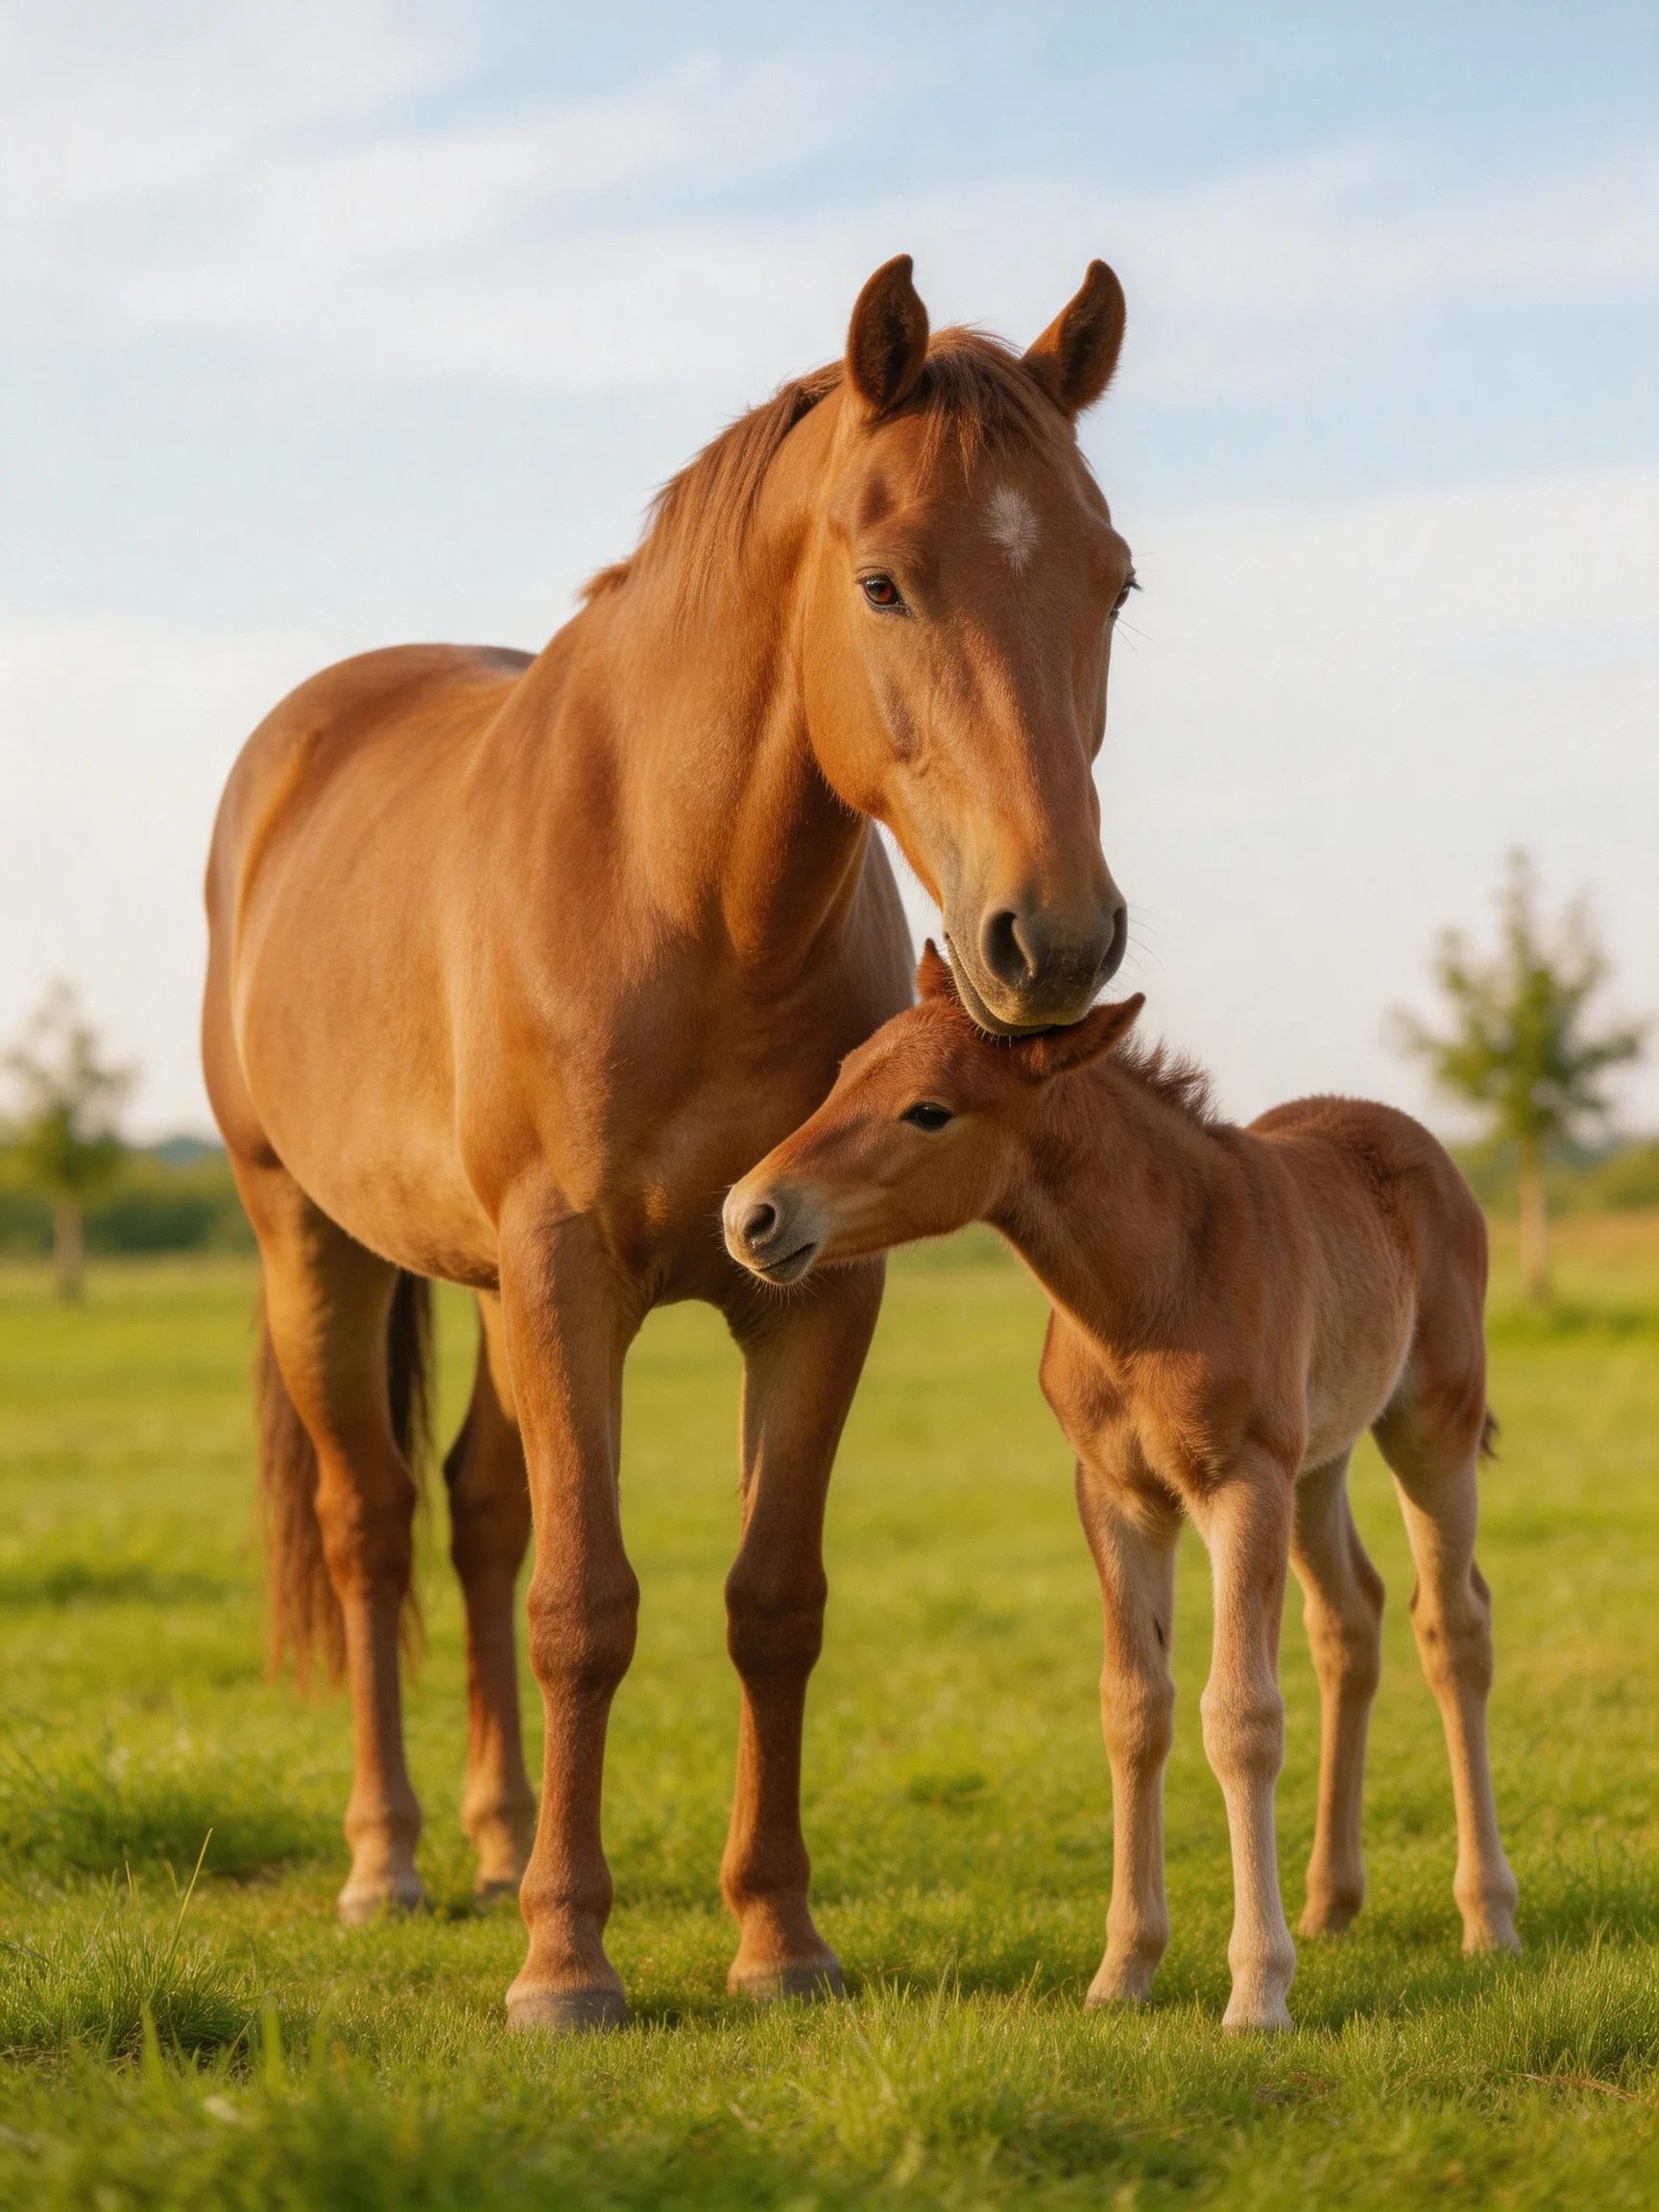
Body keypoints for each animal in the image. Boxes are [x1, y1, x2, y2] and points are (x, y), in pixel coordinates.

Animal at [203, 257, 1139, 2031]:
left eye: (1114, 583)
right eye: (882, 583)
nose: (1048, 944)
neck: (683, 891)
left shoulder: (813, 1288)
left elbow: (770, 1602)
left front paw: (775, 1939)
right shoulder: (568, 1271)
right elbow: (586, 1607)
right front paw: (567, 1962)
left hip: (484, 1289)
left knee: (479, 1510)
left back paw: (498, 1841)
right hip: (313, 1243)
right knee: (375, 1528)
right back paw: (394, 1862)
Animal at [723, 945, 1520, 2031]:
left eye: (928, 1111)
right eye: (844, 1074)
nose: (750, 1215)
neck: (1150, 1289)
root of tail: (1407, 1137)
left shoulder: (1240, 1484)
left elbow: (1241, 1717)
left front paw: (1257, 1991)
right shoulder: (1116, 1495)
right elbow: (1134, 1708)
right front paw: (1124, 1970)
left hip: (1429, 1426)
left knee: (1455, 1626)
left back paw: (1487, 1916)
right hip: (1319, 1460)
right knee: (1349, 1621)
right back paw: (1329, 1903)